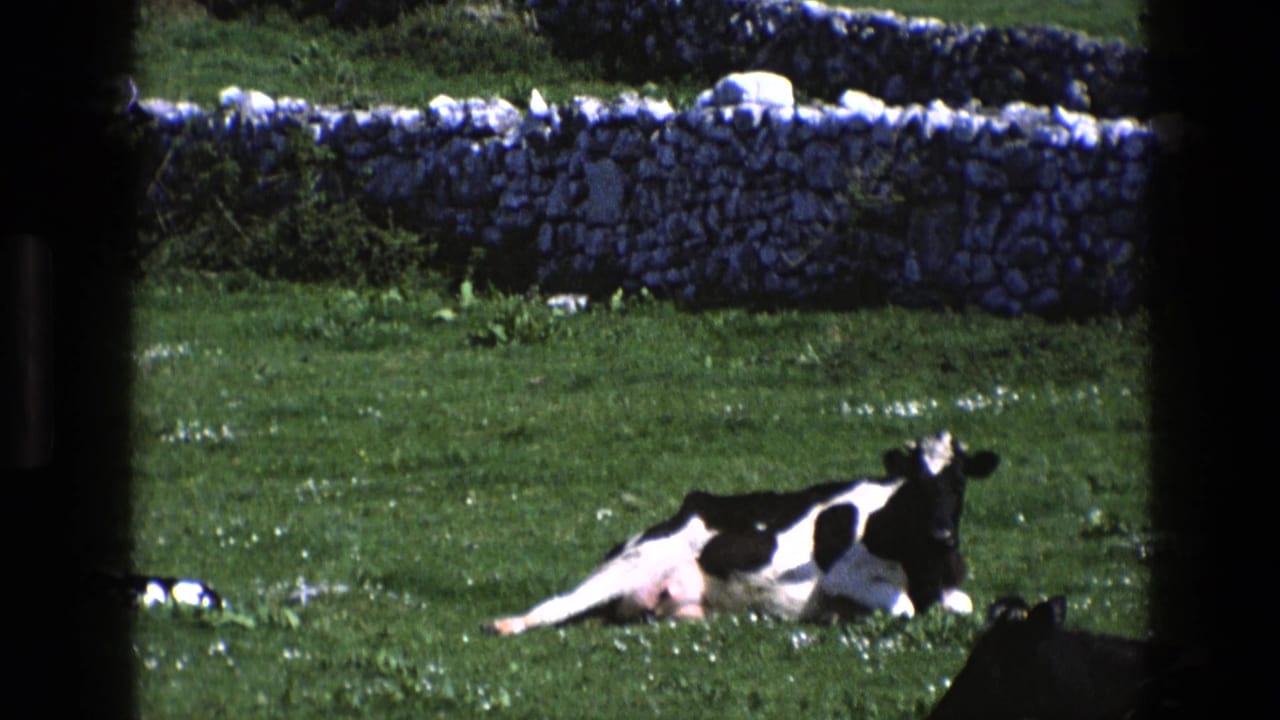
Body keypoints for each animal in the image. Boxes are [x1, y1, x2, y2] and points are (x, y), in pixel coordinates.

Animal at [485, 430, 1000, 635]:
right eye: (914, 485)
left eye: (958, 483)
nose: (942, 535)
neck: (923, 563)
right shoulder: (842, 576)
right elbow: (904, 607)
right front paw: (842, 615)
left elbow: (962, 603)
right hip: (634, 563)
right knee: (558, 605)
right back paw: (506, 623)